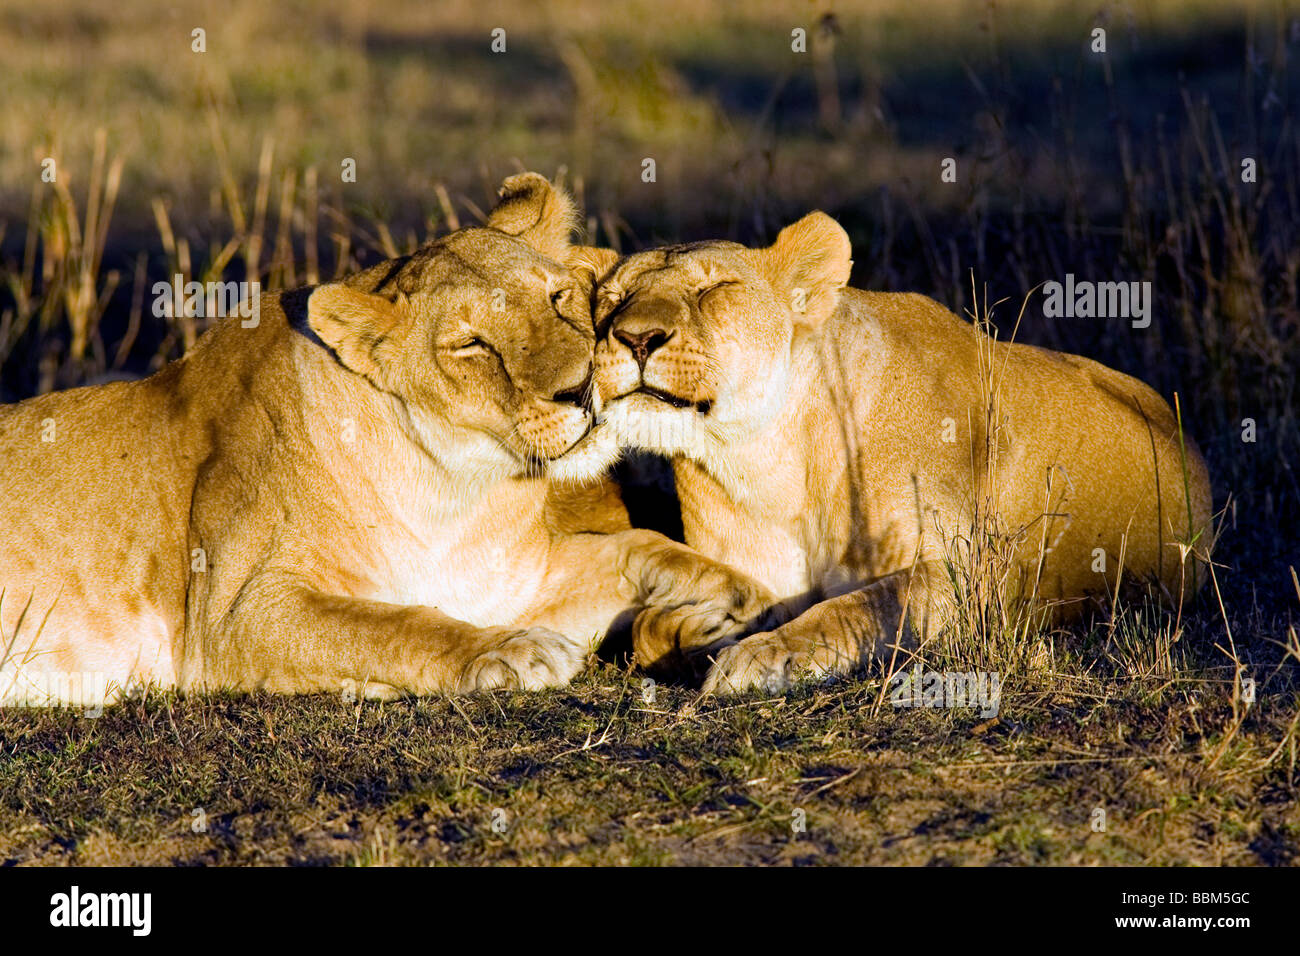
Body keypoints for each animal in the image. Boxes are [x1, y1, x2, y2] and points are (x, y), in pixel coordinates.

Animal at [0, 174, 770, 709]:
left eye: (557, 299)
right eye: (471, 344)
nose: (581, 388)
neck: (460, 492)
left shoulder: (512, 578)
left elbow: (634, 548)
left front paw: (733, 601)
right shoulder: (233, 617)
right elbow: (393, 624)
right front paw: (510, 651)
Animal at [587, 212, 1215, 693]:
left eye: (713, 290)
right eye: (613, 300)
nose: (635, 337)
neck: (770, 460)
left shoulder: (969, 581)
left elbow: (854, 610)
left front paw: (763, 656)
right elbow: (648, 625)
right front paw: (709, 629)